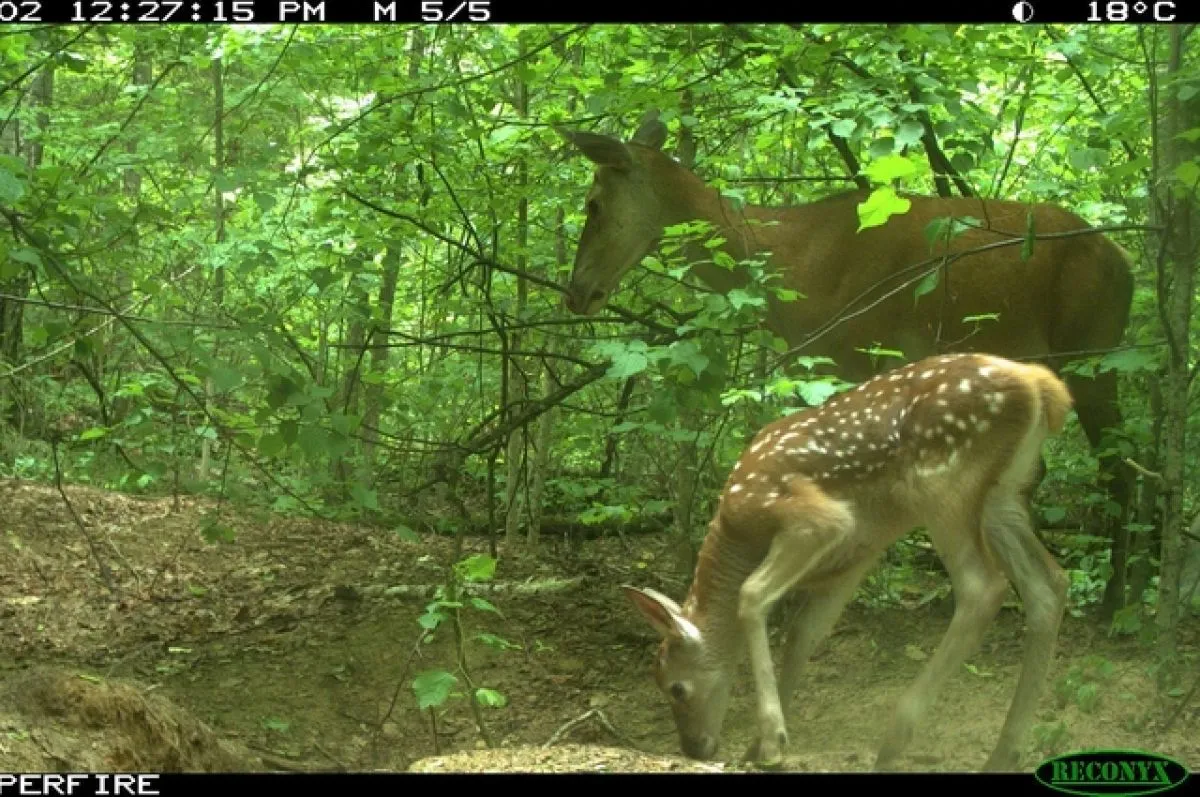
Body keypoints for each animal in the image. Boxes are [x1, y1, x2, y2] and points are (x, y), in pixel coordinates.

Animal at [556, 110, 1137, 609]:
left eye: (593, 204)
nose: (575, 291)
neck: (789, 262)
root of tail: (1125, 265)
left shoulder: (854, 354)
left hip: (1093, 350)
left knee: (1118, 464)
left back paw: (1113, 599)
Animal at [624, 352, 1075, 768]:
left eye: (676, 688)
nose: (694, 748)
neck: (738, 533)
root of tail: (1039, 383)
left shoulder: (815, 518)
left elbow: (752, 595)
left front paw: (772, 743)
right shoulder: (856, 556)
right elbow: (805, 631)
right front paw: (758, 744)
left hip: (943, 482)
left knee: (983, 587)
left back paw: (896, 738)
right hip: (1003, 496)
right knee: (1050, 584)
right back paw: (1003, 753)